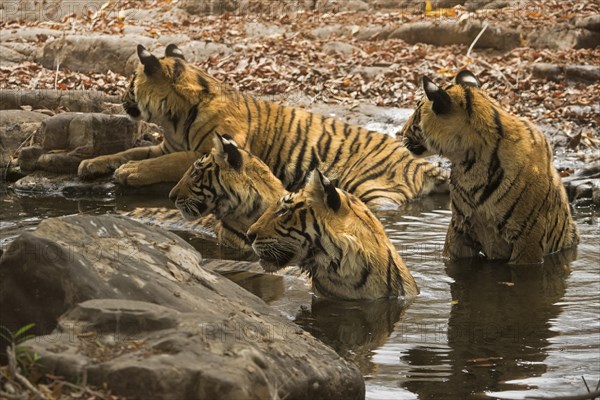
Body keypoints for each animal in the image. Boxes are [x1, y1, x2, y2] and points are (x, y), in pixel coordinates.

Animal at [77, 43, 448, 209]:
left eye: (130, 81)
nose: (120, 97)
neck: (172, 118)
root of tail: (419, 162)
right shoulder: (166, 144)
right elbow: (129, 150)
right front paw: (90, 164)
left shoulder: (207, 150)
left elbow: (161, 162)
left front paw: (129, 173)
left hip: (370, 186)